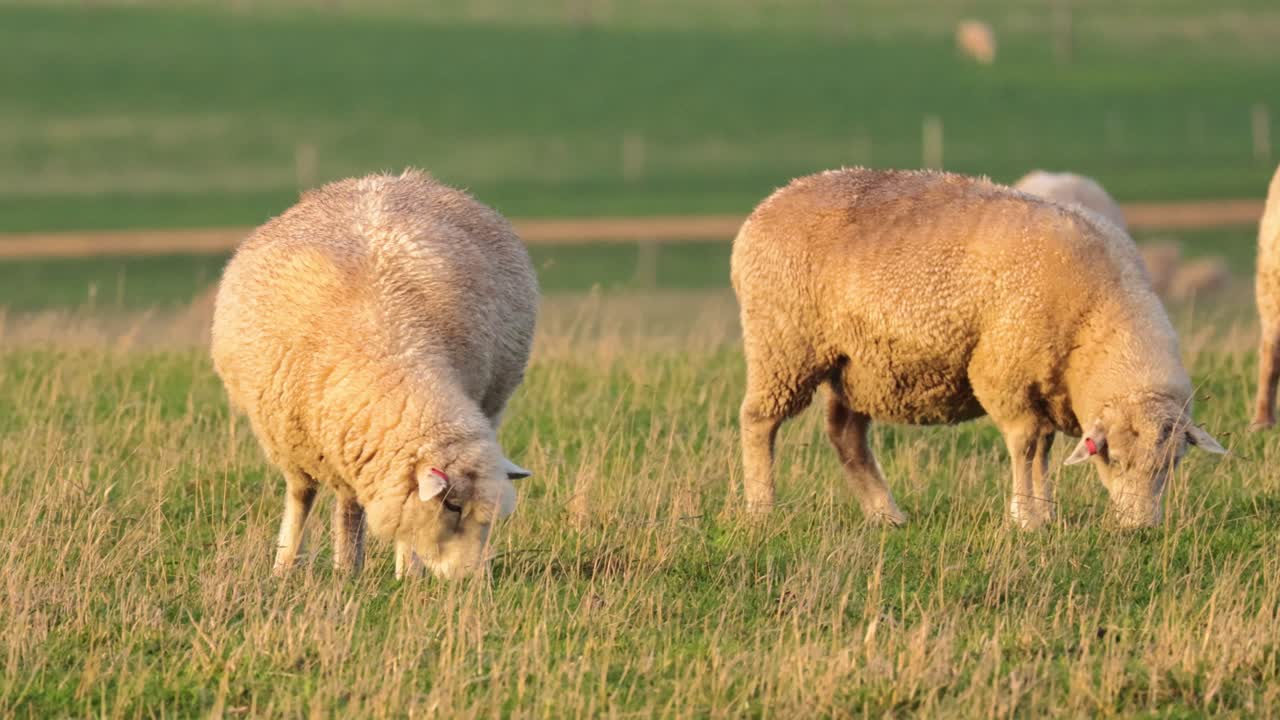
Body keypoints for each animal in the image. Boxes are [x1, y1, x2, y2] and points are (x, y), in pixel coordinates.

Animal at [211, 169, 538, 579]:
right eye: (452, 505)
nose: (468, 579)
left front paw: (402, 571)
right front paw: (289, 565)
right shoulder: (295, 439)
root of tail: (388, 178)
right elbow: (305, 497)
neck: (391, 349)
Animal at [731, 168, 1225, 530]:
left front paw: (1046, 513)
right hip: (784, 345)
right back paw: (761, 509)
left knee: (845, 435)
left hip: (861, 365)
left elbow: (1043, 451)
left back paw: (886, 514)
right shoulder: (1005, 375)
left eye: (1172, 466)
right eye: (1115, 460)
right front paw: (1025, 518)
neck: (1098, 319)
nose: (1140, 529)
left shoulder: (1044, 386)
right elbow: (1026, 446)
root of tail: (764, 208)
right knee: (759, 421)